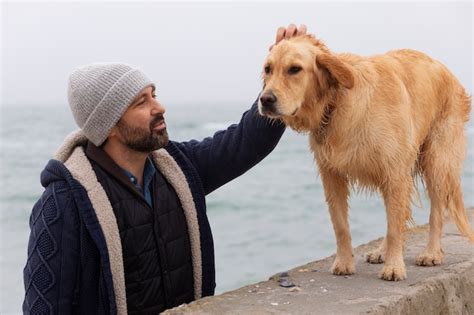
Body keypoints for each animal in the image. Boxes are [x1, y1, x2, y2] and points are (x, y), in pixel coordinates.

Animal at [260, 34, 474, 282]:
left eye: (295, 69)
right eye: (268, 69)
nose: (265, 99)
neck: (337, 102)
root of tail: (447, 71)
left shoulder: (395, 172)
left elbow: (395, 227)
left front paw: (394, 266)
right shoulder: (332, 175)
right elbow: (342, 226)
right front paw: (344, 262)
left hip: (437, 159)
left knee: (435, 211)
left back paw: (431, 253)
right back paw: (382, 251)